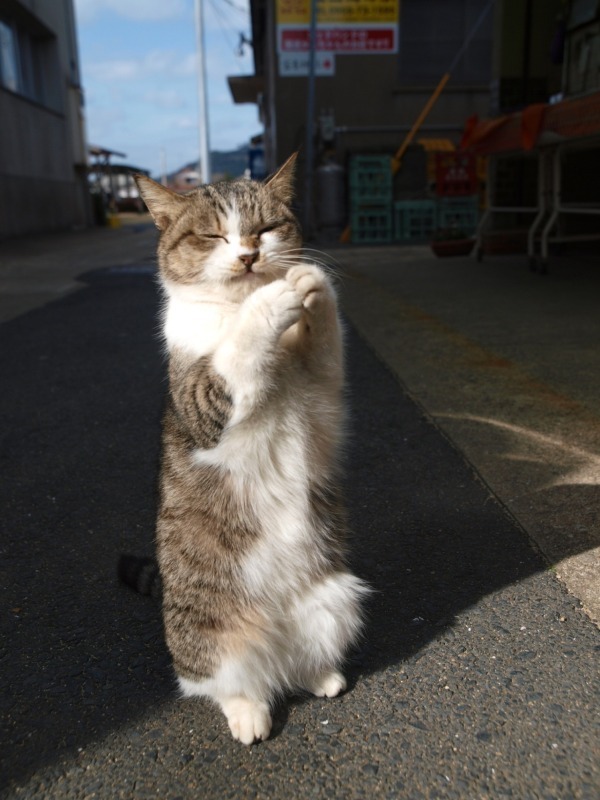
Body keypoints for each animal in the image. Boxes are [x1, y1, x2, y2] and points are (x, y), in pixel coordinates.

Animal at [132, 155, 368, 744]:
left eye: (265, 228)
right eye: (213, 235)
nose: (249, 256)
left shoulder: (325, 397)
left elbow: (328, 350)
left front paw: (311, 283)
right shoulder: (202, 402)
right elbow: (236, 351)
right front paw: (273, 297)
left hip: (336, 600)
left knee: (299, 661)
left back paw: (320, 675)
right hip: (211, 636)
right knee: (225, 682)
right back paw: (249, 713)